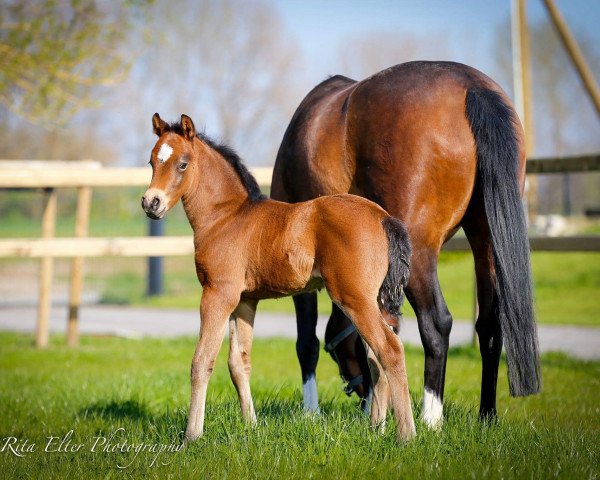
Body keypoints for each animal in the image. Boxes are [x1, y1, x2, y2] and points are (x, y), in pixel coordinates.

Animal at [141, 113, 414, 442]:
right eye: (152, 161)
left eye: (182, 163)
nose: (151, 203)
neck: (226, 217)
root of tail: (383, 217)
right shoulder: (245, 301)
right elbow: (238, 362)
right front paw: (251, 426)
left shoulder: (218, 294)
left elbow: (202, 361)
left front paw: (191, 435)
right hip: (368, 301)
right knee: (376, 358)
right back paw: (375, 429)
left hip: (354, 299)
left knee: (390, 350)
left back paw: (406, 435)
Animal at [270, 61, 540, 428]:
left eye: (336, 352)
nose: (359, 395)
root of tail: (472, 86)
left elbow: (306, 343)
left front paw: (311, 413)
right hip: (486, 241)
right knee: (490, 326)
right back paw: (487, 416)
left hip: (421, 252)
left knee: (436, 323)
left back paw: (430, 418)